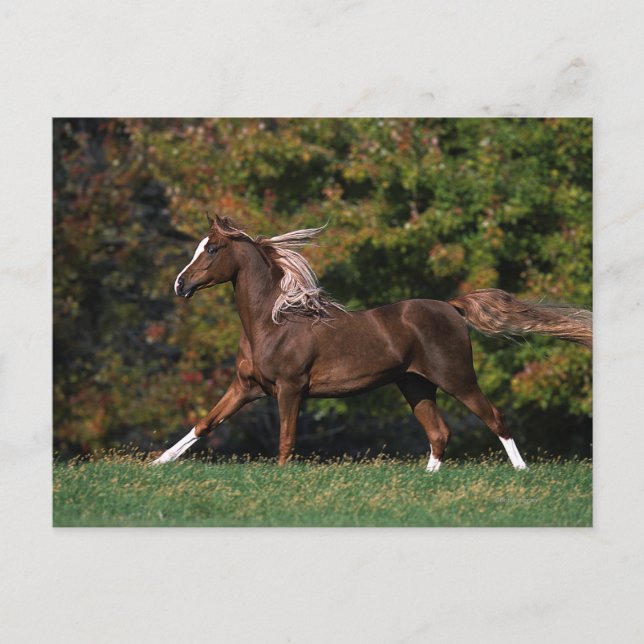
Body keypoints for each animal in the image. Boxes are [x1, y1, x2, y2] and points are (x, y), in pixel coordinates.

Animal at [152, 215, 591, 471]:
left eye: (211, 249)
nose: (180, 285)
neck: (272, 322)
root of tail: (452, 307)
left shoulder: (290, 389)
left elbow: (286, 440)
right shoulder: (247, 388)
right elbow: (205, 423)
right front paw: (156, 465)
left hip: (456, 378)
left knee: (495, 418)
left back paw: (521, 473)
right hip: (415, 384)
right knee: (439, 434)